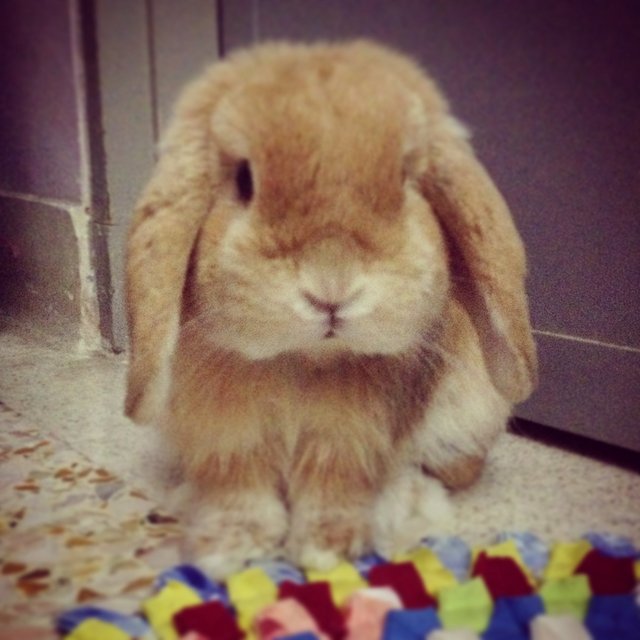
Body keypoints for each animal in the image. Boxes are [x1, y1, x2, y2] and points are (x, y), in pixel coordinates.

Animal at [124, 38, 536, 576]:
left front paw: (328, 548)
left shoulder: (352, 436)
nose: (331, 288)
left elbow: (334, 482)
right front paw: (230, 549)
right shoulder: (227, 434)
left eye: (406, 179)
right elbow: (239, 483)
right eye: (244, 180)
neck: (301, 361)